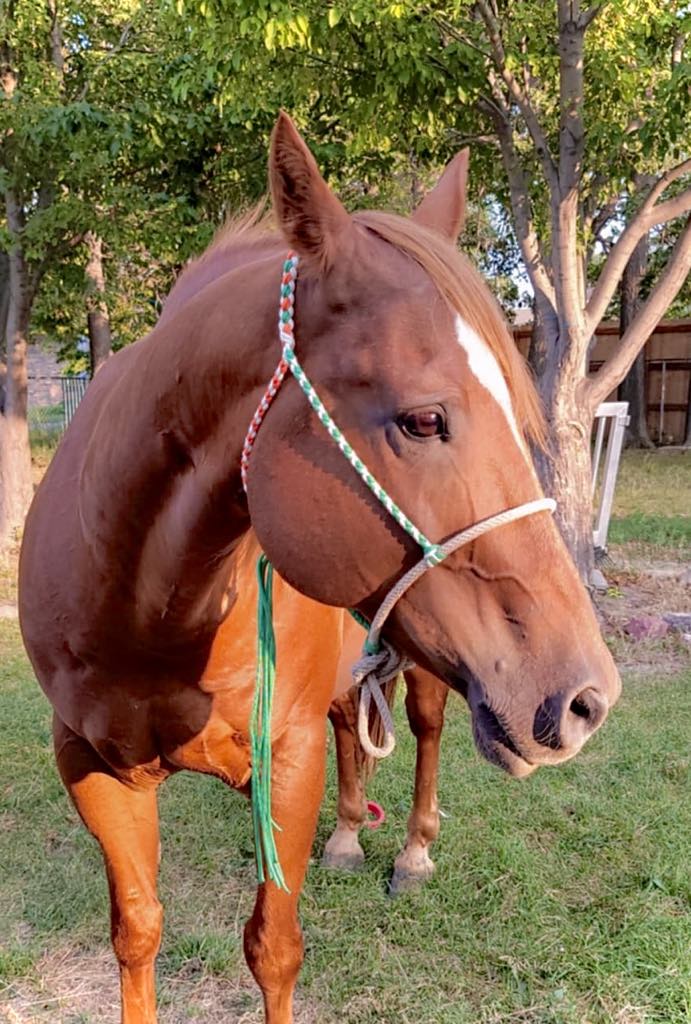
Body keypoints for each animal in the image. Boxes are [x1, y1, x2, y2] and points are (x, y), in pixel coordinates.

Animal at [18, 112, 622, 1024]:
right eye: (422, 419)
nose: (587, 697)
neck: (151, 605)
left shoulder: (285, 762)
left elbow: (273, 948)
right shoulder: (93, 767)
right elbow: (137, 931)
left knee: (425, 730)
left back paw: (409, 852)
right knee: (351, 726)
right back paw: (345, 836)